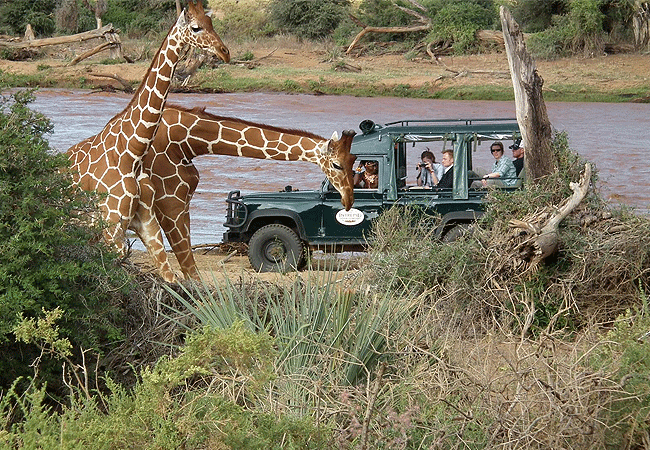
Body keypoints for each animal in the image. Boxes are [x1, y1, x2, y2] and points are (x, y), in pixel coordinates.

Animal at [66, 0, 228, 282]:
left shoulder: (146, 223)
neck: (132, 152)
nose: (224, 52)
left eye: (211, 23)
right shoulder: (112, 227)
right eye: (196, 28)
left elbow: (170, 279)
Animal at [132, 105, 354, 280]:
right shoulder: (169, 193)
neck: (189, 139)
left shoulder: (180, 193)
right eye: (336, 165)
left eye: (353, 162)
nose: (348, 199)